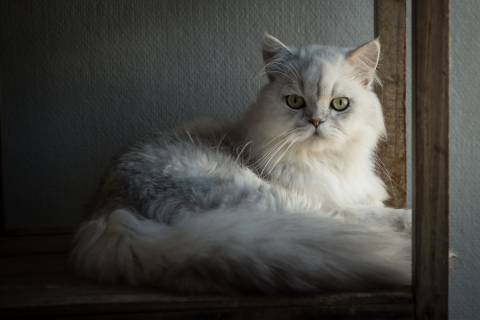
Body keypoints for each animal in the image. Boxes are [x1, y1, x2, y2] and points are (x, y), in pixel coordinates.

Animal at [72, 33, 412, 294]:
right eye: (295, 102)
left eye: (339, 104)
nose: (316, 121)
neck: (326, 163)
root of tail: (111, 215)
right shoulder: (325, 199)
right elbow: (369, 211)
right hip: (272, 200)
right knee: (347, 221)